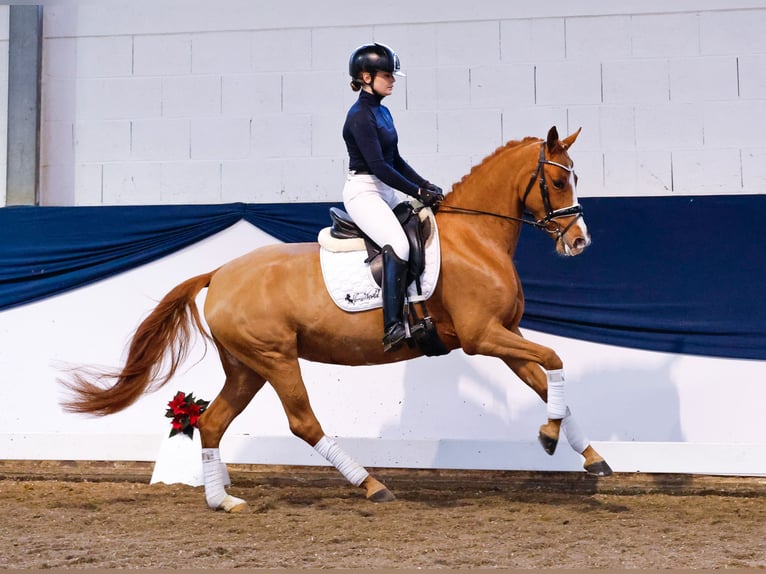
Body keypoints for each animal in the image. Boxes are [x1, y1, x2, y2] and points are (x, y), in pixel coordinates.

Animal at [60, 126, 616, 512]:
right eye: (558, 179)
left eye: (574, 178)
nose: (580, 241)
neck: (475, 239)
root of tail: (219, 273)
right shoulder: (484, 337)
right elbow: (555, 359)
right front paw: (551, 438)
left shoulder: (506, 335)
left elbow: (547, 382)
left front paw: (586, 453)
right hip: (276, 357)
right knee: (302, 421)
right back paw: (372, 485)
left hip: (245, 366)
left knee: (212, 421)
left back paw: (223, 501)